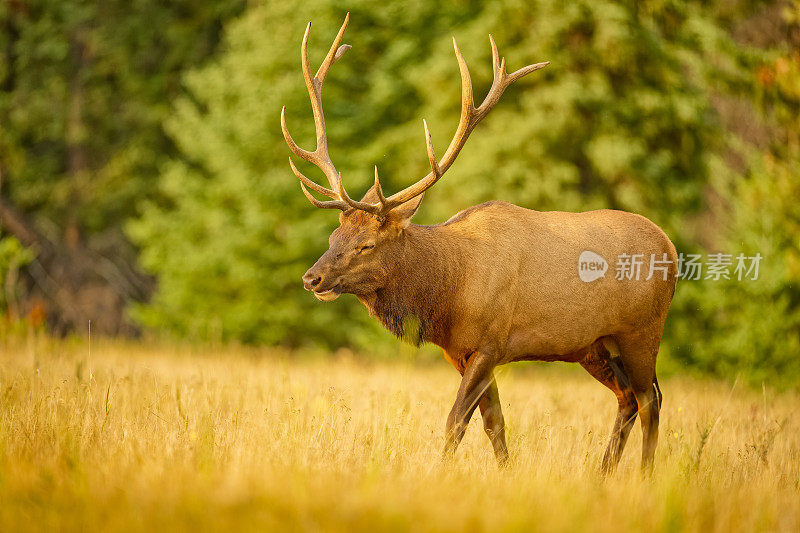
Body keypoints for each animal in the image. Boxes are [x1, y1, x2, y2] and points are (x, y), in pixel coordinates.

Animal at [278, 14, 680, 470]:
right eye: (335, 234)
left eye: (367, 244)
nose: (312, 278)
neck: (448, 292)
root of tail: (670, 248)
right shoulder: (461, 352)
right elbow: (494, 423)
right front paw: (507, 471)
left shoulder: (491, 342)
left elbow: (457, 420)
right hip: (595, 346)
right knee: (628, 398)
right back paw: (604, 473)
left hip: (642, 332)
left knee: (651, 398)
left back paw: (643, 474)